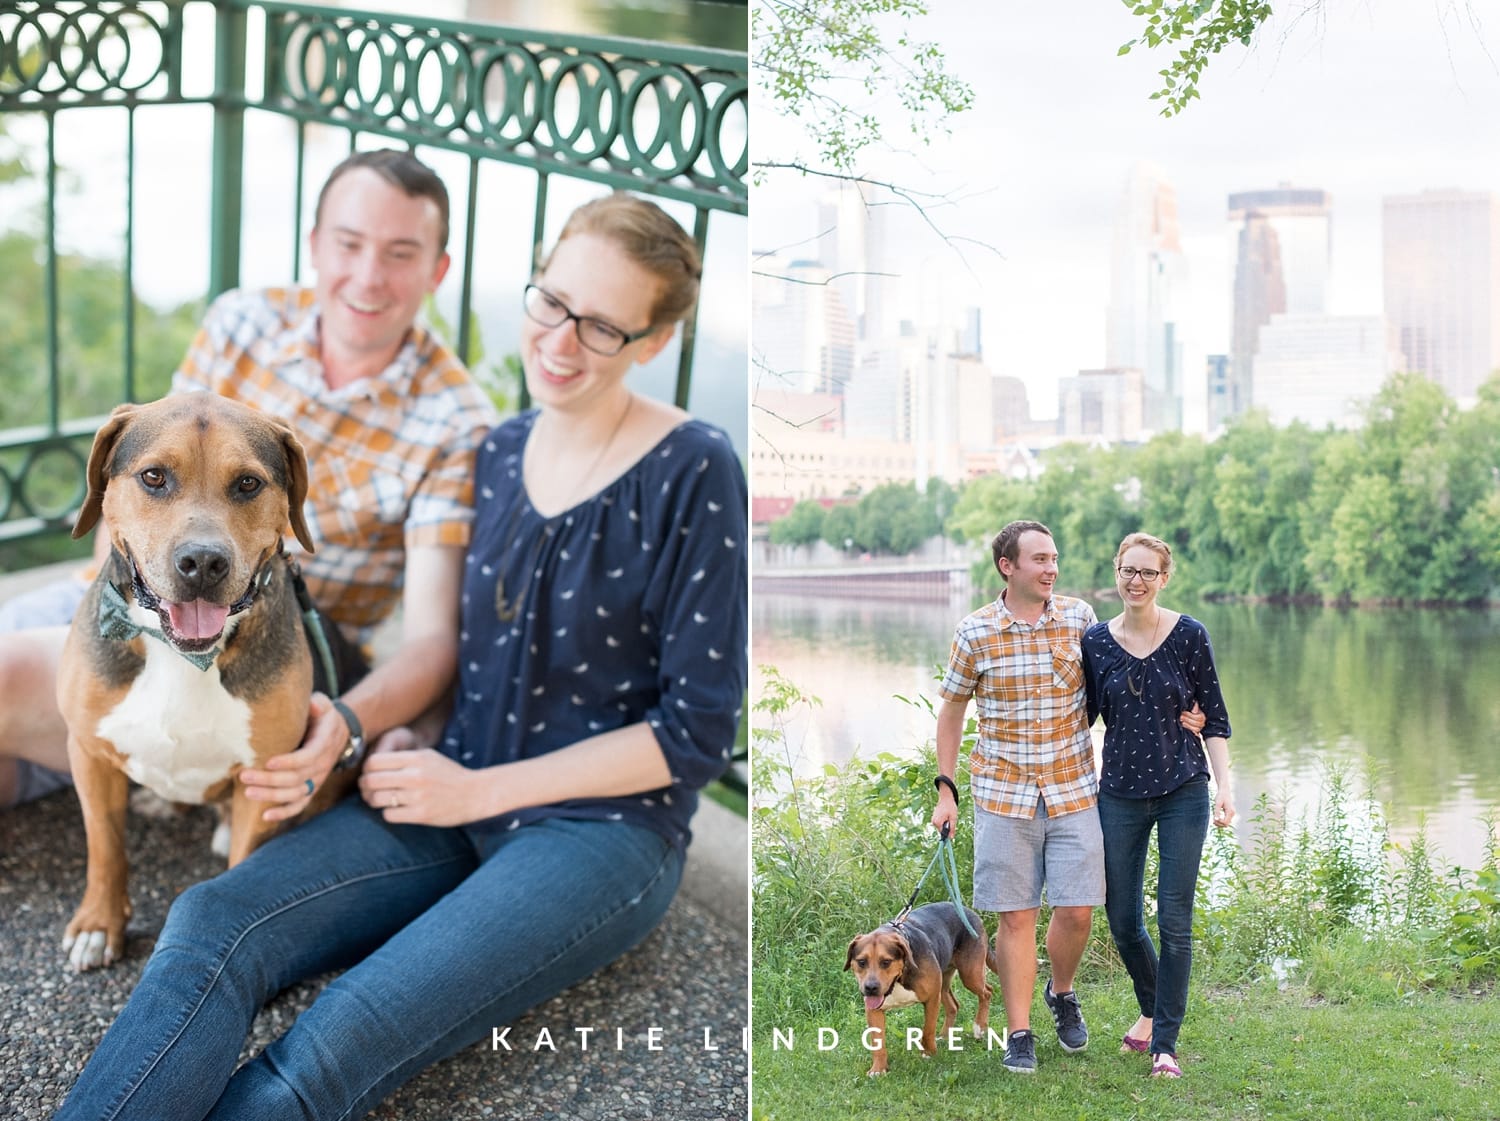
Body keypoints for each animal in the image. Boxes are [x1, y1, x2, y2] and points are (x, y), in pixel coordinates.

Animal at [57, 396, 348, 972]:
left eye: (248, 484)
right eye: (153, 477)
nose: (203, 562)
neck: (183, 655)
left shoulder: (266, 777)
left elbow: (242, 868)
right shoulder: (88, 750)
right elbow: (105, 846)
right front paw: (99, 923)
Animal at [846, 900, 996, 1074]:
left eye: (886, 962)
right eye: (861, 962)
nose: (870, 988)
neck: (901, 977)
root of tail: (969, 911)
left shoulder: (931, 999)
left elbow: (928, 1030)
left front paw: (929, 1054)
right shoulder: (873, 1010)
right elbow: (878, 1043)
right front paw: (878, 1069)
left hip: (970, 974)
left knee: (987, 992)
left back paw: (980, 1028)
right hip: (943, 982)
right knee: (953, 1005)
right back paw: (945, 1036)